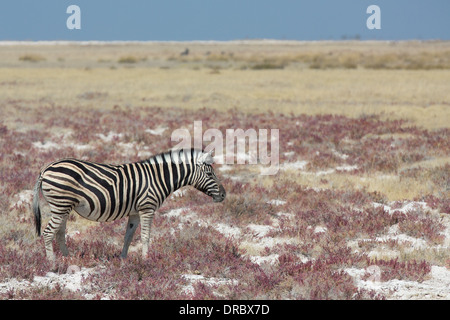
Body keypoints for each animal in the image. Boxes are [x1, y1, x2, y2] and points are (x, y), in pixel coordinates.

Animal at [32, 149, 225, 262]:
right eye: (210, 174)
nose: (223, 195)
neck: (158, 177)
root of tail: (46, 168)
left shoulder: (134, 212)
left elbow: (128, 236)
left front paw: (123, 259)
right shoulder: (147, 208)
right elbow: (146, 236)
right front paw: (146, 260)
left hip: (63, 207)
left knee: (59, 233)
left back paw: (68, 259)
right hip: (60, 205)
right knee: (48, 233)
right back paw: (53, 264)